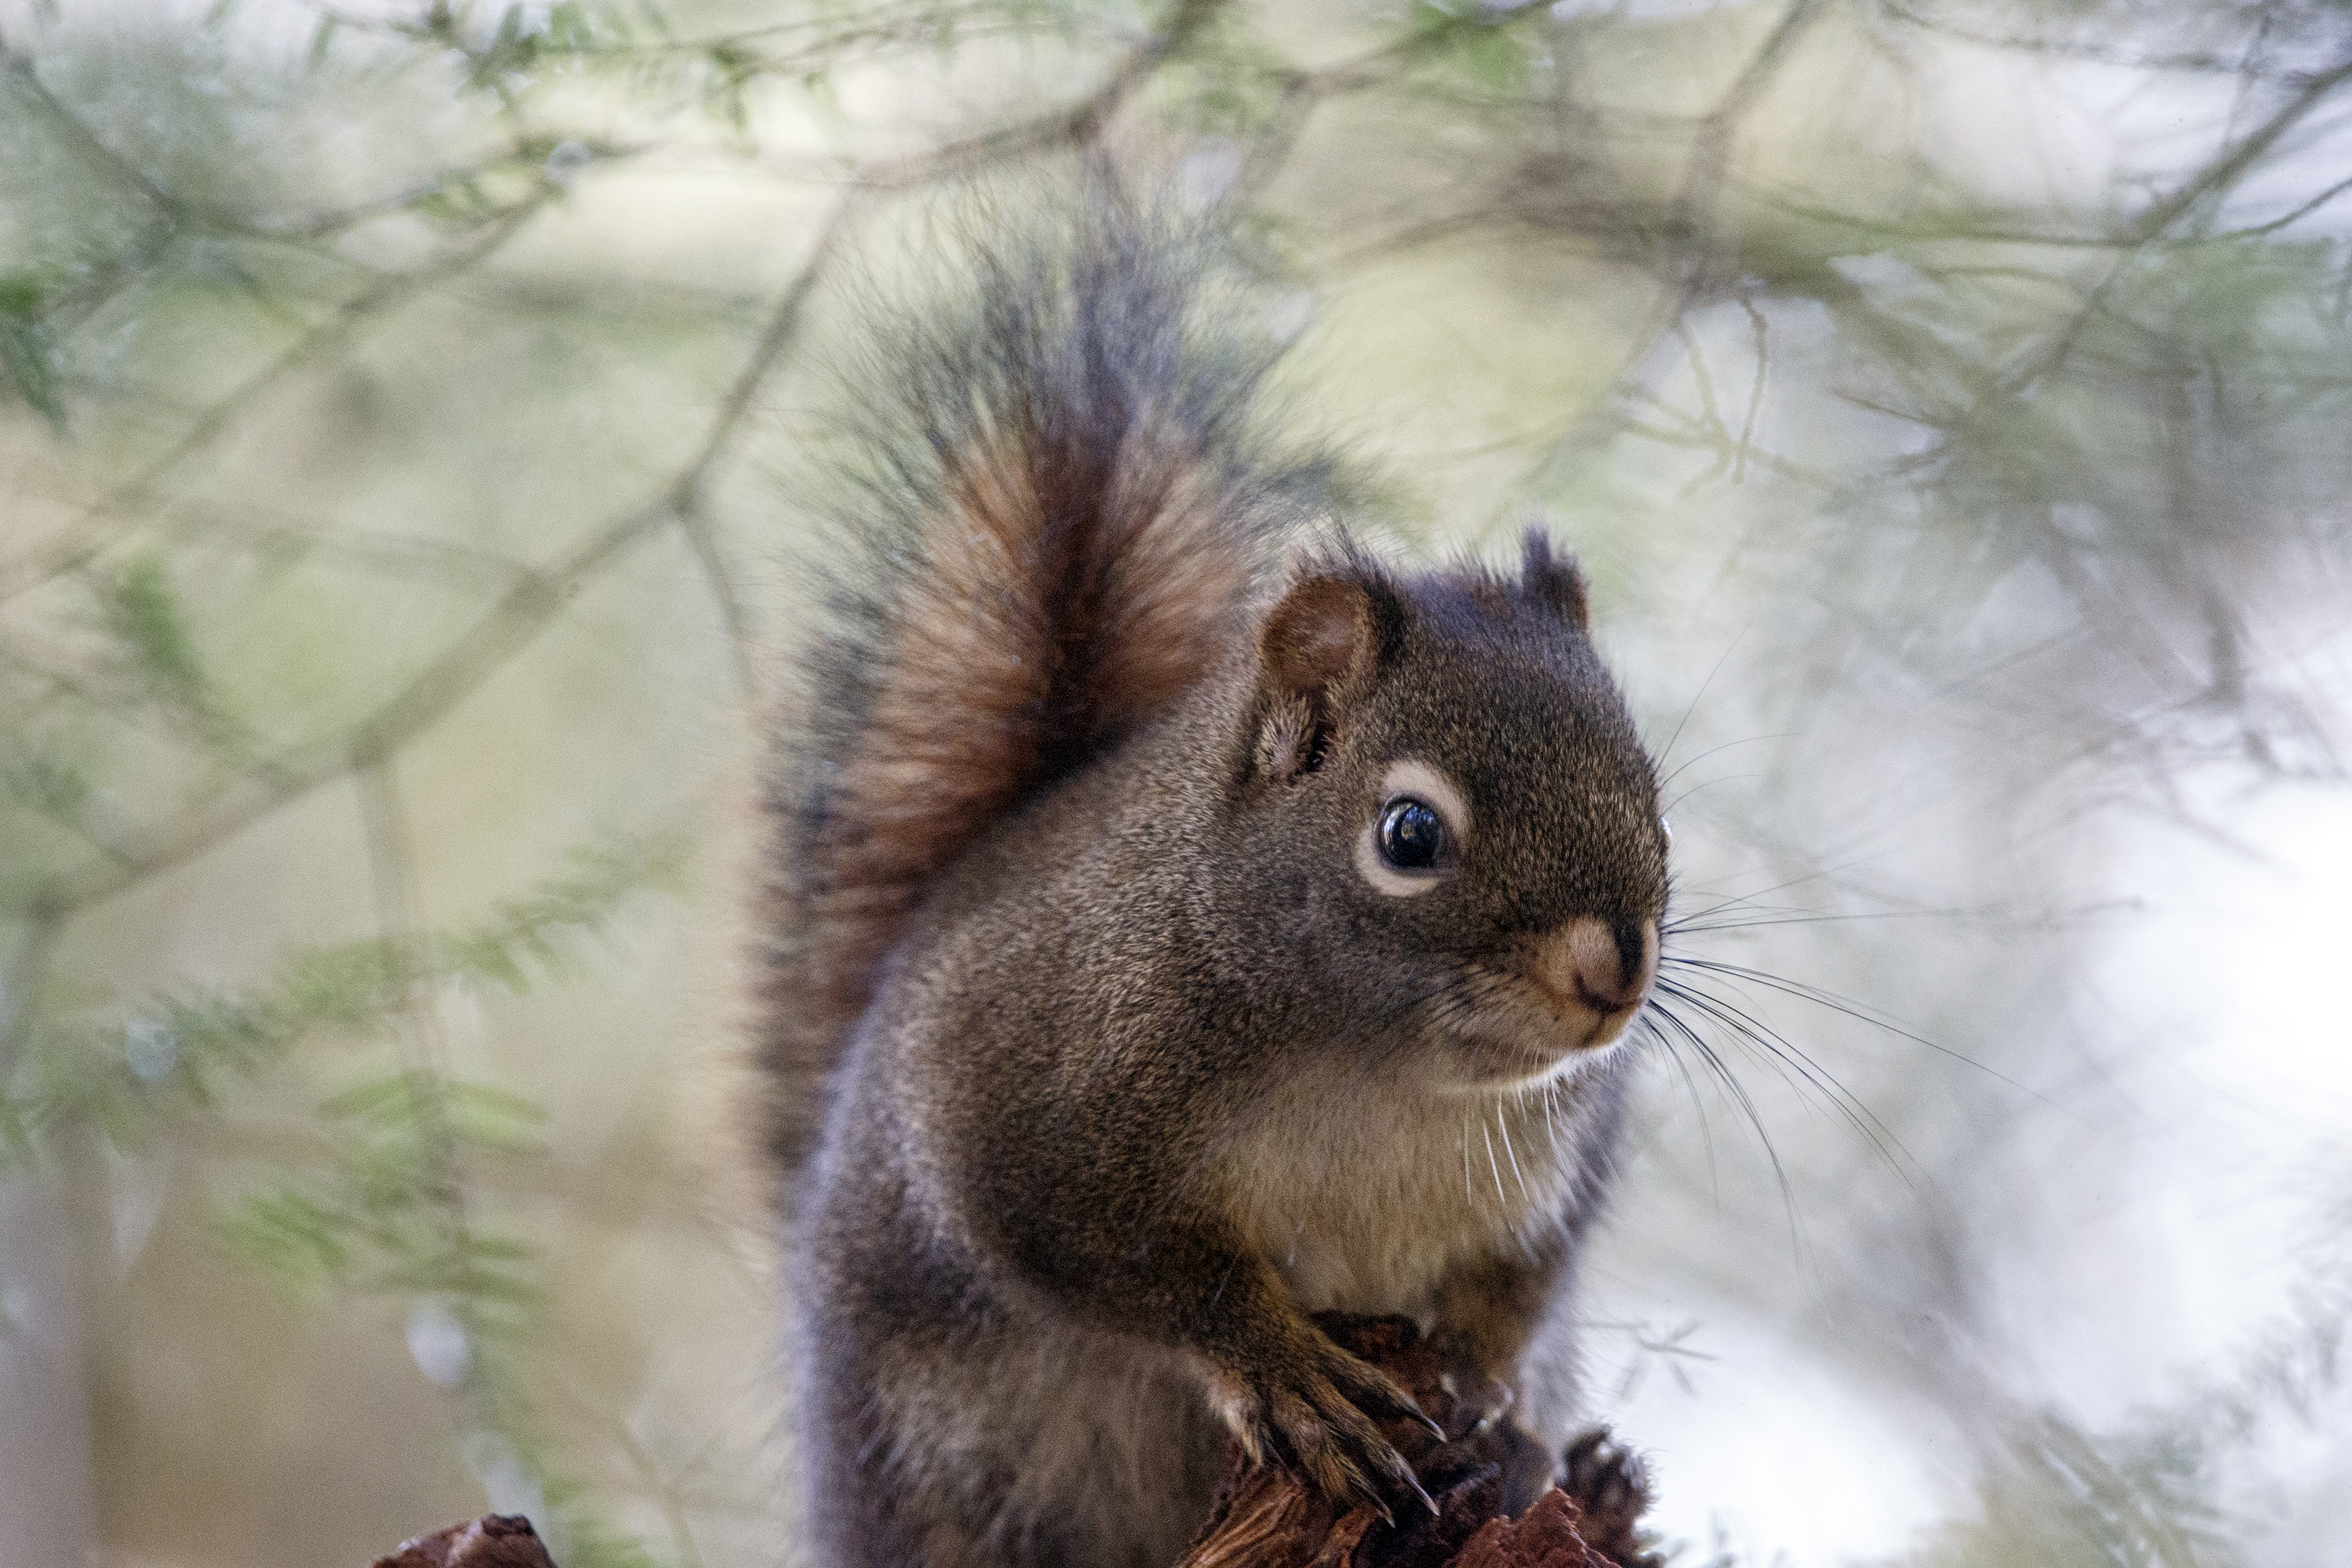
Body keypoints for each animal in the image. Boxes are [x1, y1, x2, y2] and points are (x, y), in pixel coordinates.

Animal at [757, 184, 1669, 1568]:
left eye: (1650, 787)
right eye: (1410, 835)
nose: (1613, 969)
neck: (1383, 1073)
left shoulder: (1563, 1161)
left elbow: (1527, 1281)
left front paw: (1485, 1386)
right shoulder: (1014, 1104)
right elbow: (1124, 1265)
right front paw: (1280, 1363)